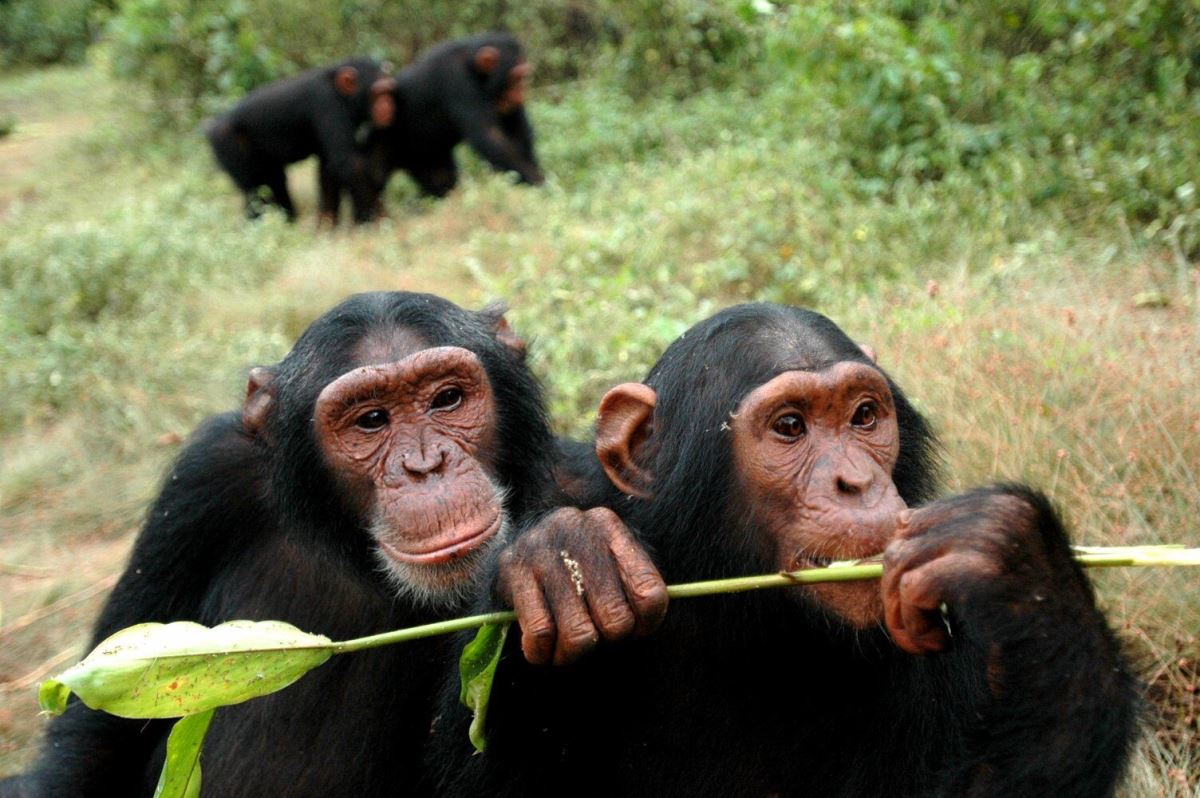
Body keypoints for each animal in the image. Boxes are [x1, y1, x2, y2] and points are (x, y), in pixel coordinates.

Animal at [7, 292, 667, 796]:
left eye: (447, 399)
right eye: (371, 420)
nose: (425, 466)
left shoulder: (588, 486)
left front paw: (561, 560)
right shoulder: (204, 476)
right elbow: (97, 731)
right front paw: (550, 566)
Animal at [204, 57, 396, 222]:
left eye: (388, 91)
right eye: (377, 93)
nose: (387, 104)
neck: (343, 95)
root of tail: (211, 125)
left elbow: (329, 171)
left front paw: (326, 225)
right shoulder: (327, 104)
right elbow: (350, 164)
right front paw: (377, 217)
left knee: (275, 182)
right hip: (227, 142)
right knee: (255, 188)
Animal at [364, 34, 544, 199]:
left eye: (523, 76)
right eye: (516, 77)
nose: (521, 91)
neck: (475, 69)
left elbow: (516, 129)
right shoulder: (457, 79)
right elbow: (489, 135)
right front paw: (537, 182)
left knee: (440, 182)